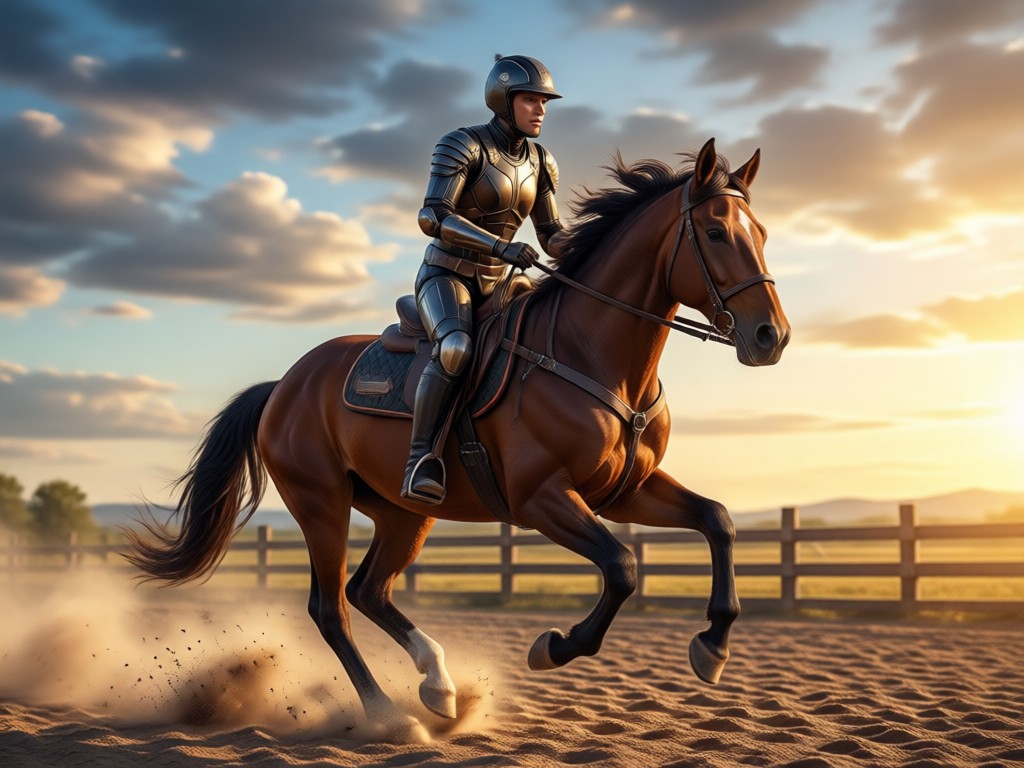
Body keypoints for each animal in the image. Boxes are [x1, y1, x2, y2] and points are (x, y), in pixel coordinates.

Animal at [125, 138, 790, 740]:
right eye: (715, 232)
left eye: (759, 230)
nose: (771, 337)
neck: (591, 352)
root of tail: (284, 385)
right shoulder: (542, 499)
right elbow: (623, 567)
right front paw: (555, 646)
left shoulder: (627, 491)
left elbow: (718, 521)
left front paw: (713, 646)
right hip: (321, 505)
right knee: (331, 608)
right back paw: (389, 715)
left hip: (402, 513)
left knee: (368, 591)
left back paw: (439, 687)